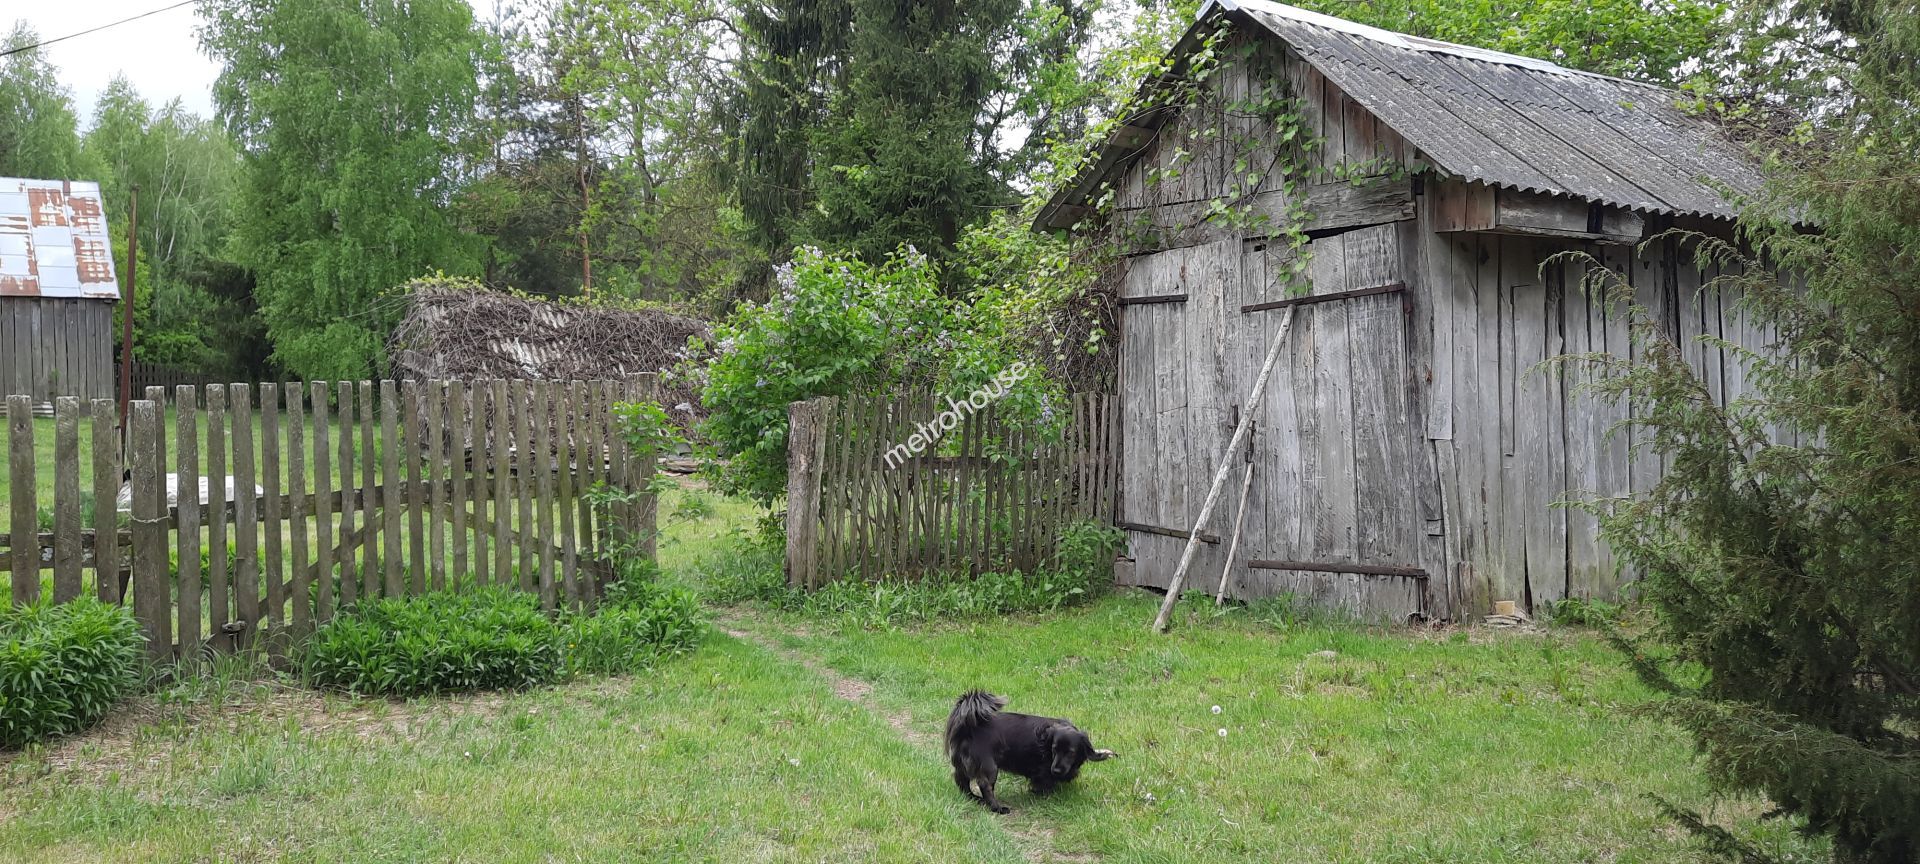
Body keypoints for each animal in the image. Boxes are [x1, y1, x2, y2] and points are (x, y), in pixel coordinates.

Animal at [944, 690, 1115, 813]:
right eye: (1054, 749)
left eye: (1070, 752)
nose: (1056, 770)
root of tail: (968, 728)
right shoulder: (1044, 770)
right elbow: (1045, 782)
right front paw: (1043, 792)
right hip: (989, 766)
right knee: (984, 785)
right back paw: (997, 807)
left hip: (963, 765)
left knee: (961, 781)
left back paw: (974, 798)